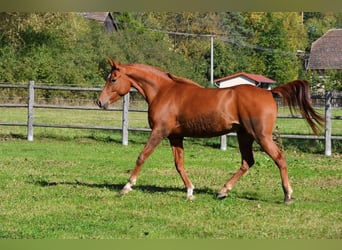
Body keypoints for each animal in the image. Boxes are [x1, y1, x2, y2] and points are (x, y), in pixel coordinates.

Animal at [96, 59, 324, 204]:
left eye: (113, 79)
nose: (100, 102)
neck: (163, 92)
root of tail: (269, 93)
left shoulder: (159, 132)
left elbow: (142, 156)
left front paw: (127, 187)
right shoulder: (175, 136)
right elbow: (179, 164)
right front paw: (190, 191)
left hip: (261, 136)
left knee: (279, 158)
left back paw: (287, 195)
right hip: (244, 135)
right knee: (247, 162)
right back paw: (222, 191)